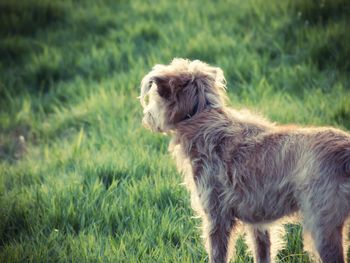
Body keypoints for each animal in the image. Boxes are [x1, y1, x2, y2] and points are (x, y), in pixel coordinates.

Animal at [139, 58, 350, 262]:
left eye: (154, 97)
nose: (146, 117)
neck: (201, 114)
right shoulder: (259, 223)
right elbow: (262, 253)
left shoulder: (217, 219)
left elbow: (217, 255)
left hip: (323, 228)